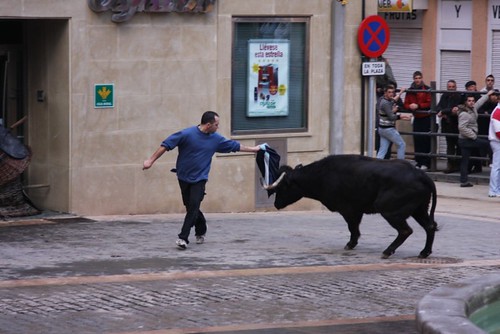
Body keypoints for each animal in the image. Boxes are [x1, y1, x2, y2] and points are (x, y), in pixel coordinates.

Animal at [266, 154, 438, 258]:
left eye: (282, 187)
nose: (276, 204)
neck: (322, 174)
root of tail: (420, 174)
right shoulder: (357, 210)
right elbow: (355, 228)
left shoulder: (348, 210)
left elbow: (352, 228)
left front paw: (350, 244)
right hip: (419, 210)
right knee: (430, 226)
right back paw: (424, 252)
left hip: (391, 211)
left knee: (405, 230)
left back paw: (388, 251)